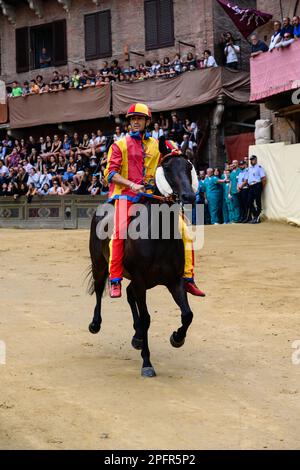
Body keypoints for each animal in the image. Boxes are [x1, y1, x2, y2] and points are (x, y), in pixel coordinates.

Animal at [88, 138, 198, 376]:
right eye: (167, 168)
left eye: (189, 167)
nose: (188, 196)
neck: (159, 236)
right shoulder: (139, 279)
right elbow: (147, 318)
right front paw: (147, 363)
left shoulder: (174, 280)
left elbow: (187, 314)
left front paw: (177, 338)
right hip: (99, 263)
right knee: (100, 289)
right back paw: (95, 324)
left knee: (129, 295)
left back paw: (137, 337)